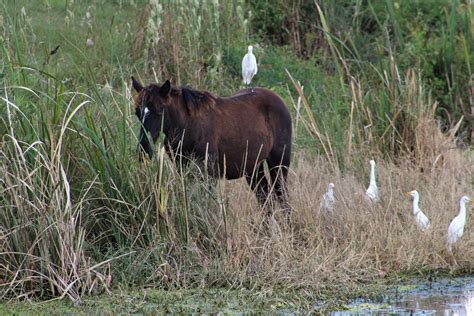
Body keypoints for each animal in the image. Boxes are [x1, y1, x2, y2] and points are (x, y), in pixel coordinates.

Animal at [131, 77, 290, 207]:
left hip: (279, 164)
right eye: (137, 112)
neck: (188, 127)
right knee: (266, 199)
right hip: (254, 168)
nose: (143, 150)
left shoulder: (209, 172)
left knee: (282, 198)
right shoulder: (183, 168)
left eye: (160, 111)